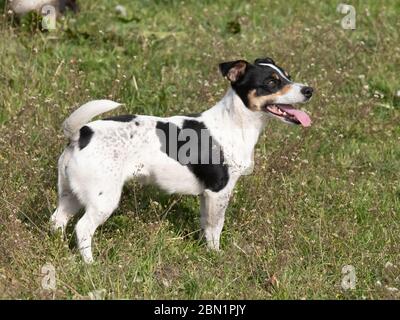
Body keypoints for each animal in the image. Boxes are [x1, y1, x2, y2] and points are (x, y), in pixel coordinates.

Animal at [50, 57, 312, 262]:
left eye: (288, 77)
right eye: (271, 82)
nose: (309, 90)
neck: (234, 122)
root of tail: (81, 134)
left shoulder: (207, 195)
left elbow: (206, 225)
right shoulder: (219, 191)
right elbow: (216, 227)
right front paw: (215, 256)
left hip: (70, 195)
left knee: (57, 221)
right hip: (103, 199)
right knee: (83, 228)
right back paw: (90, 263)